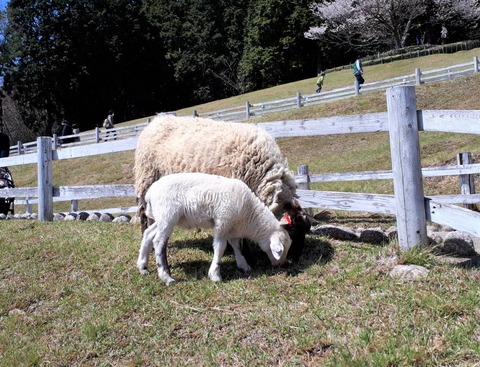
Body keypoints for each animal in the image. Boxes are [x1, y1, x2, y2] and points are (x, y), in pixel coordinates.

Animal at [134, 115, 316, 262]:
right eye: (292, 231)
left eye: (305, 231)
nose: (296, 258)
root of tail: (155, 121)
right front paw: (247, 256)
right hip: (146, 179)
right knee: (144, 215)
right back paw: (147, 243)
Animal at [135, 172, 292, 284]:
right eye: (283, 248)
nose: (281, 264)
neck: (249, 215)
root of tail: (150, 193)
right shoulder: (222, 222)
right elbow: (220, 247)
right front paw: (215, 275)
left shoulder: (232, 227)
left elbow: (236, 246)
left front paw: (244, 265)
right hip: (167, 215)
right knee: (158, 242)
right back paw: (166, 277)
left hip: (162, 218)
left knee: (148, 234)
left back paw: (143, 266)